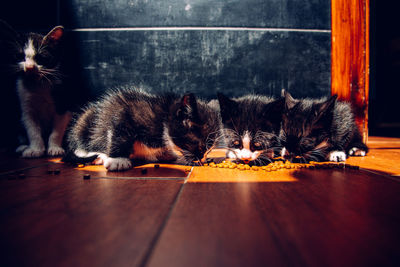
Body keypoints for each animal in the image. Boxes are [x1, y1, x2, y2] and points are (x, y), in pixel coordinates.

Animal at [0, 21, 71, 159]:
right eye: (20, 56)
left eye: (41, 57)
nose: (29, 67)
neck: (37, 85)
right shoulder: (25, 104)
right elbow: (32, 128)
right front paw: (36, 149)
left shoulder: (62, 101)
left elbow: (57, 128)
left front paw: (54, 148)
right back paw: (22, 147)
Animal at [65, 88, 222, 172]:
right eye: (200, 146)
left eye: (209, 149)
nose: (202, 159)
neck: (162, 121)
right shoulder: (125, 113)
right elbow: (120, 133)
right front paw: (118, 160)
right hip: (85, 119)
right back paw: (97, 155)